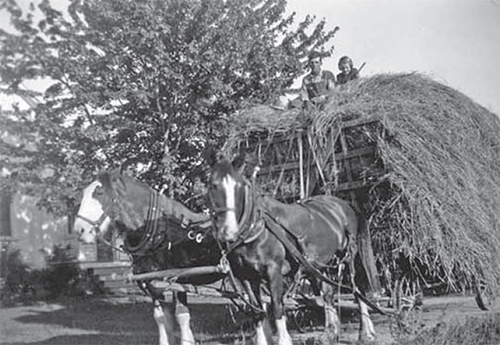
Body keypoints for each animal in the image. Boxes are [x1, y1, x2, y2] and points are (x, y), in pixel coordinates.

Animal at [73, 171, 222, 344]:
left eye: (99, 193)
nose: (79, 230)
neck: (162, 235)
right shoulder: (153, 283)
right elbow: (161, 318)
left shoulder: (179, 281)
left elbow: (182, 316)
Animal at [206, 155, 378, 344]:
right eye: (212, 184)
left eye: (238, 186)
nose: (227, 230)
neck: (256, 230)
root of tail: (344, 205)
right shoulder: (245, 277)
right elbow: (257, 312)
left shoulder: (273, 271)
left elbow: (277, 306)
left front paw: (284, 339)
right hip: (320, 264)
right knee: (328, 293)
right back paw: (330, 334)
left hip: (348, 258)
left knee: (358, 288)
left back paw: (366, 333)